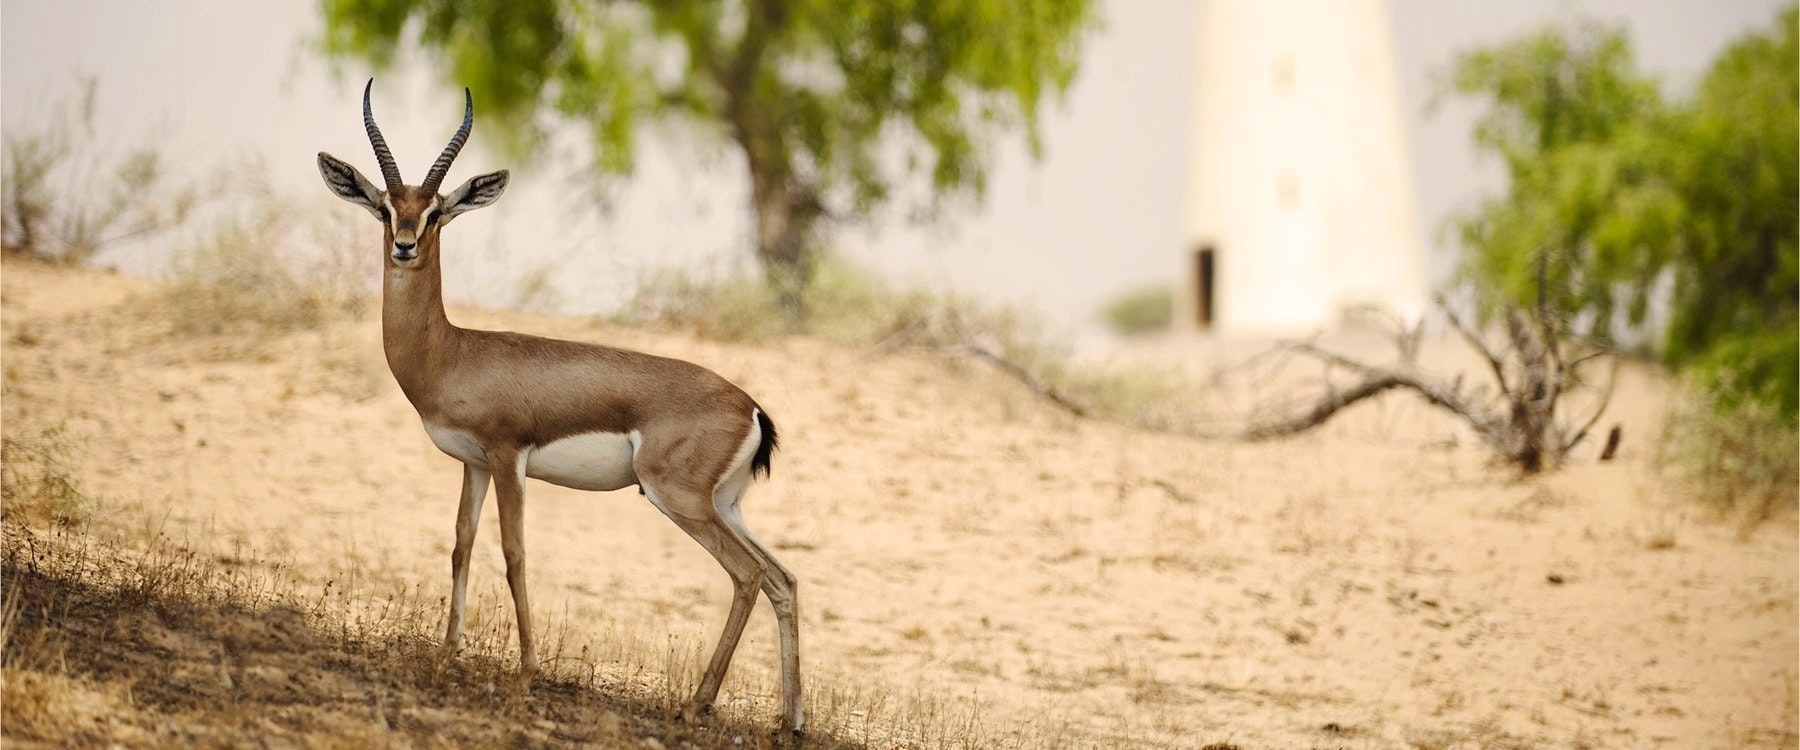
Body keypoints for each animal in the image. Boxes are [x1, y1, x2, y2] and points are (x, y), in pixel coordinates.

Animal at [316, 81, 803, 736]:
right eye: (385, 207)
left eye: (437, 209)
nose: (405, 246)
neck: (453, 352)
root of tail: (751, 408)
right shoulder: (472, 463)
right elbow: (461, 545)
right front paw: (446, 656)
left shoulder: (506, 457)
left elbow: (515, 552)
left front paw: (525, 672)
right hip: (725, 504)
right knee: (782, 577)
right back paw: (789, 722)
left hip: (676, 497)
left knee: (747, 574)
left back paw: (695, 705)